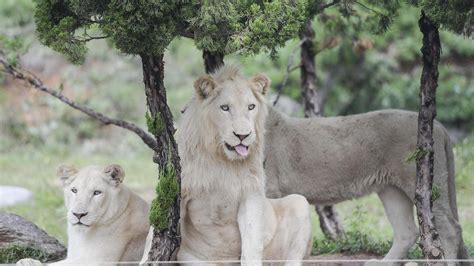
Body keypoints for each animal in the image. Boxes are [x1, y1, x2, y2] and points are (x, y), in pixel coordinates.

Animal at [18, 164, 149, 264]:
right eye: (74, 190)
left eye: (97, 192)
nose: (78, 215)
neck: (81, 235)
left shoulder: (99, 261)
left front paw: (27, 262)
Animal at [176, 66, 312, 264]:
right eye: (225, 107)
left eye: (251, 107)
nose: (243, 135)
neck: (221, 160)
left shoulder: (251, 192)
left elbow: (252, 243)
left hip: (298, 203)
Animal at [264, 108, 468, 262]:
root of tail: (439, 126)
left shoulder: (270, 189)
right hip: (392, 190)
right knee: (407, 232)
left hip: (421, 183)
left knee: (450, 229)